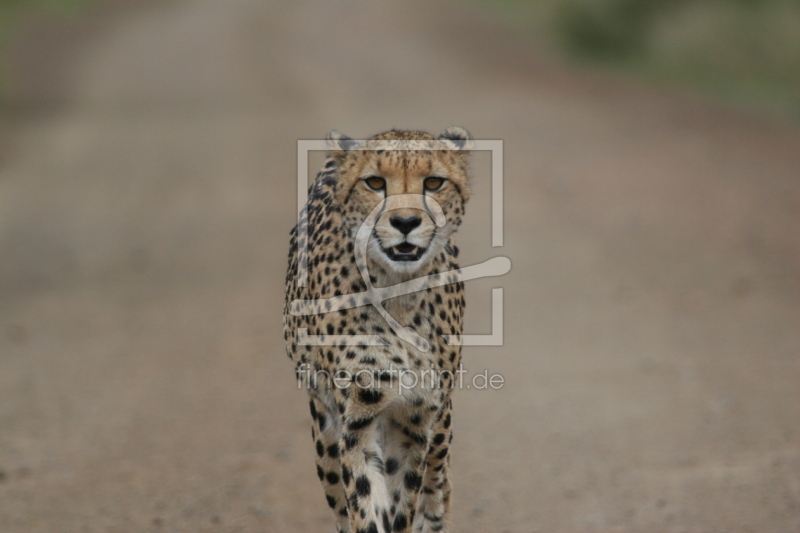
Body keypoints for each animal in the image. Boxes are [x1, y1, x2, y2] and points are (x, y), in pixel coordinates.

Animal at [284, 127, 472, 528]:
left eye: (434, 182)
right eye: (374, 182)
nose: (405, 223)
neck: (398, 297)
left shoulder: (417, 420)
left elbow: (404, 503)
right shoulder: (357, 420)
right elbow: (366, 503)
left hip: (440, 427)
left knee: (438, 486)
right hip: (325, 430)